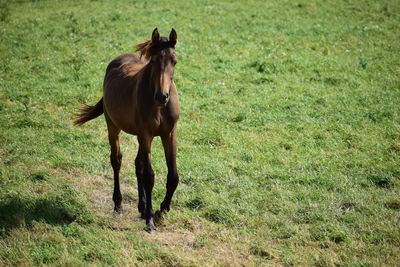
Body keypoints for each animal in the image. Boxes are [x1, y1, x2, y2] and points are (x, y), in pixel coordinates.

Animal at [74, 28, 180, 232]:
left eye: (174, 61)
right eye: (153, 61)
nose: (162, 96)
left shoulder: (168, 134)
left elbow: (173, 176)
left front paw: (161, 210)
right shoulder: (146, 134)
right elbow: (149, 176)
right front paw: (150, 220)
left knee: (138, 164)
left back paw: (142, 207)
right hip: (113, 126)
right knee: (117, 160)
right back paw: (119, 204)